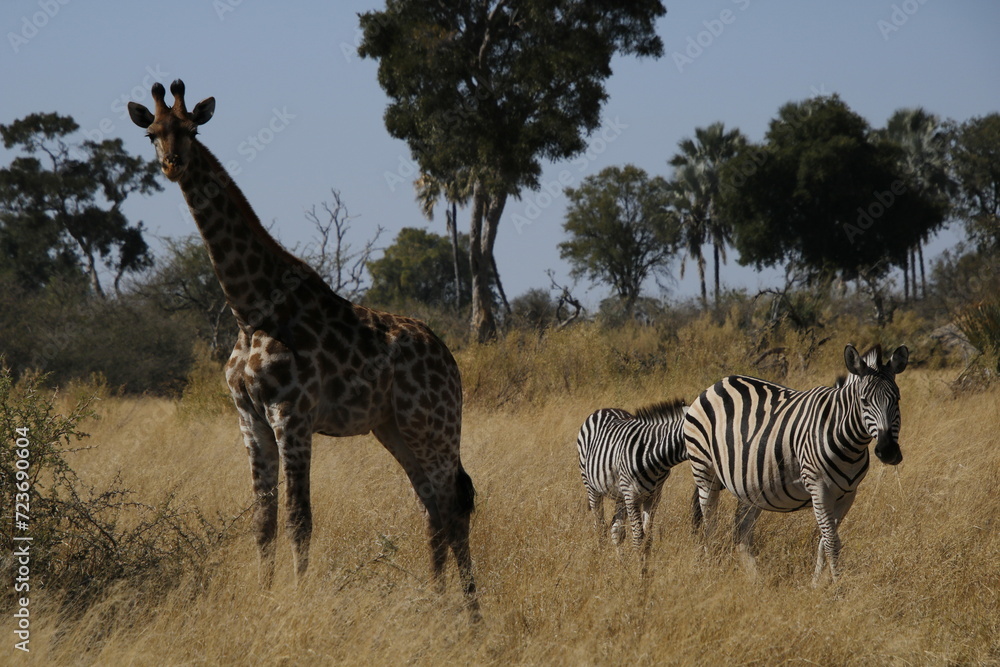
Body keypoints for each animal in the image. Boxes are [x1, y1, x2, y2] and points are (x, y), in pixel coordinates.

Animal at [128, 80, 479, 617]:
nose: (173, 164)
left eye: (192, 130)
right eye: (152, 133)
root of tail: (449, 359)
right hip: (394, 429)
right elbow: (262, 520)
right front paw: (264, 596)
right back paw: (438, 601)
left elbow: (299, 517)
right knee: (432, 506)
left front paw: (296, 599)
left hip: (433, 425)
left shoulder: (290, 413)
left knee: (454, 502)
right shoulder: (249, 419)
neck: (249, 309)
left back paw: (471, 612)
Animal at [576, 399, 688, 555]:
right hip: (591, 485)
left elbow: (648, 534)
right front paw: (638, 561)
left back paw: (621, 560)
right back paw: (600, 555)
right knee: (599, 525)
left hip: (620, 494)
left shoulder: (654, 496)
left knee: (616, 530)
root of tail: (604, 409)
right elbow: (638, 535)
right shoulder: (632, 495)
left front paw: (644, 561)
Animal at [683, 344, 908, 584]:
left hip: (749, 484)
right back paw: (711, 570)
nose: (888, 451)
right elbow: (832, 542)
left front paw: (817, 583)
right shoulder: (819, 490)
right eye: (864, 401)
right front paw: (838, 586)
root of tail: (718, 383)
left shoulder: (847, 494)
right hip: (704, 471)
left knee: (742, 529)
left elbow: (825, 540)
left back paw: (756, 579)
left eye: (897, 399)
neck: (846, 438)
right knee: (709, 525)